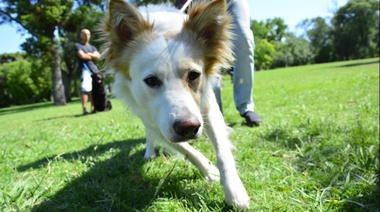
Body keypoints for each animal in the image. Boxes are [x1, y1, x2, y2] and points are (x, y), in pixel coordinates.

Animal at [100, 0, 249, 209]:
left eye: (194, 75)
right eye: (151, 80)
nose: (189, 128)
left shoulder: (208, 108)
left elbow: (222, 151)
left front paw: (234, 191)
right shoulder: (156, 122)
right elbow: (186, 150)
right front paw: (208, 170)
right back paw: (149, 152)